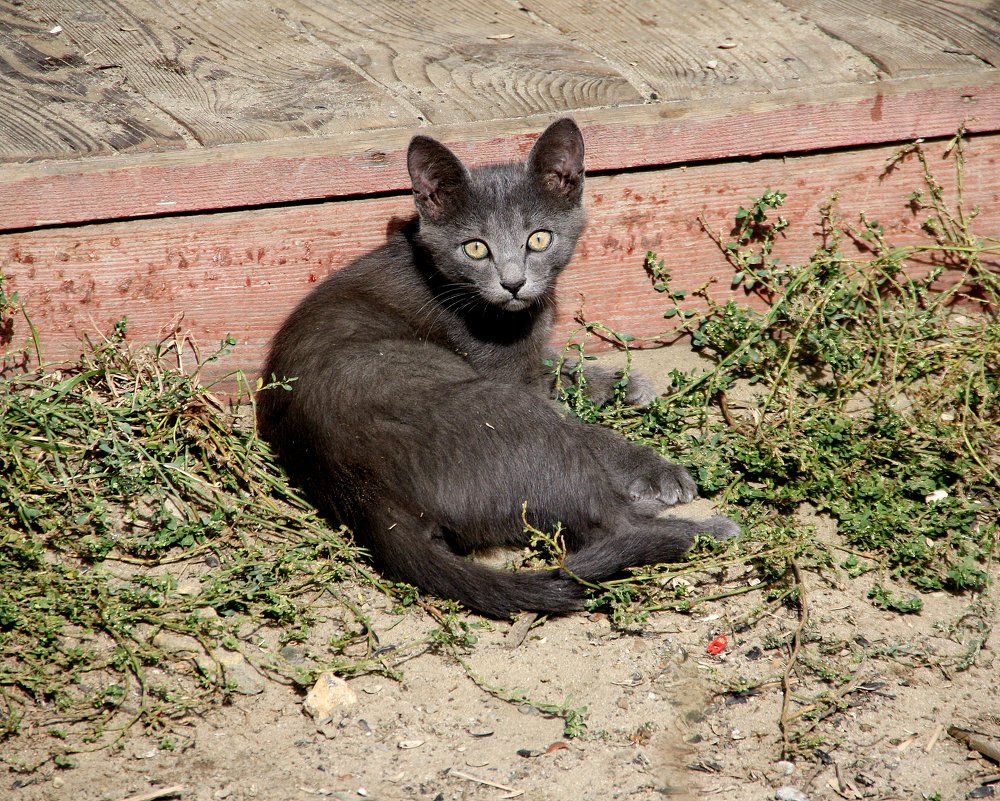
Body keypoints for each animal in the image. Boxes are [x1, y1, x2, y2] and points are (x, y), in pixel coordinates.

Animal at [256, 120, 744, 620]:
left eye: (539, 239)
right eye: (475, 248)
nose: (513, 283)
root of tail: (370, 500)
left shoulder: (527, 360)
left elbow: (552, 363)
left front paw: (622, 383)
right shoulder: (506, 378)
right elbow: (586, 428)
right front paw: (654, 467)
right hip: (510, 412)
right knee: (608, 522)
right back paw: (701, 530)